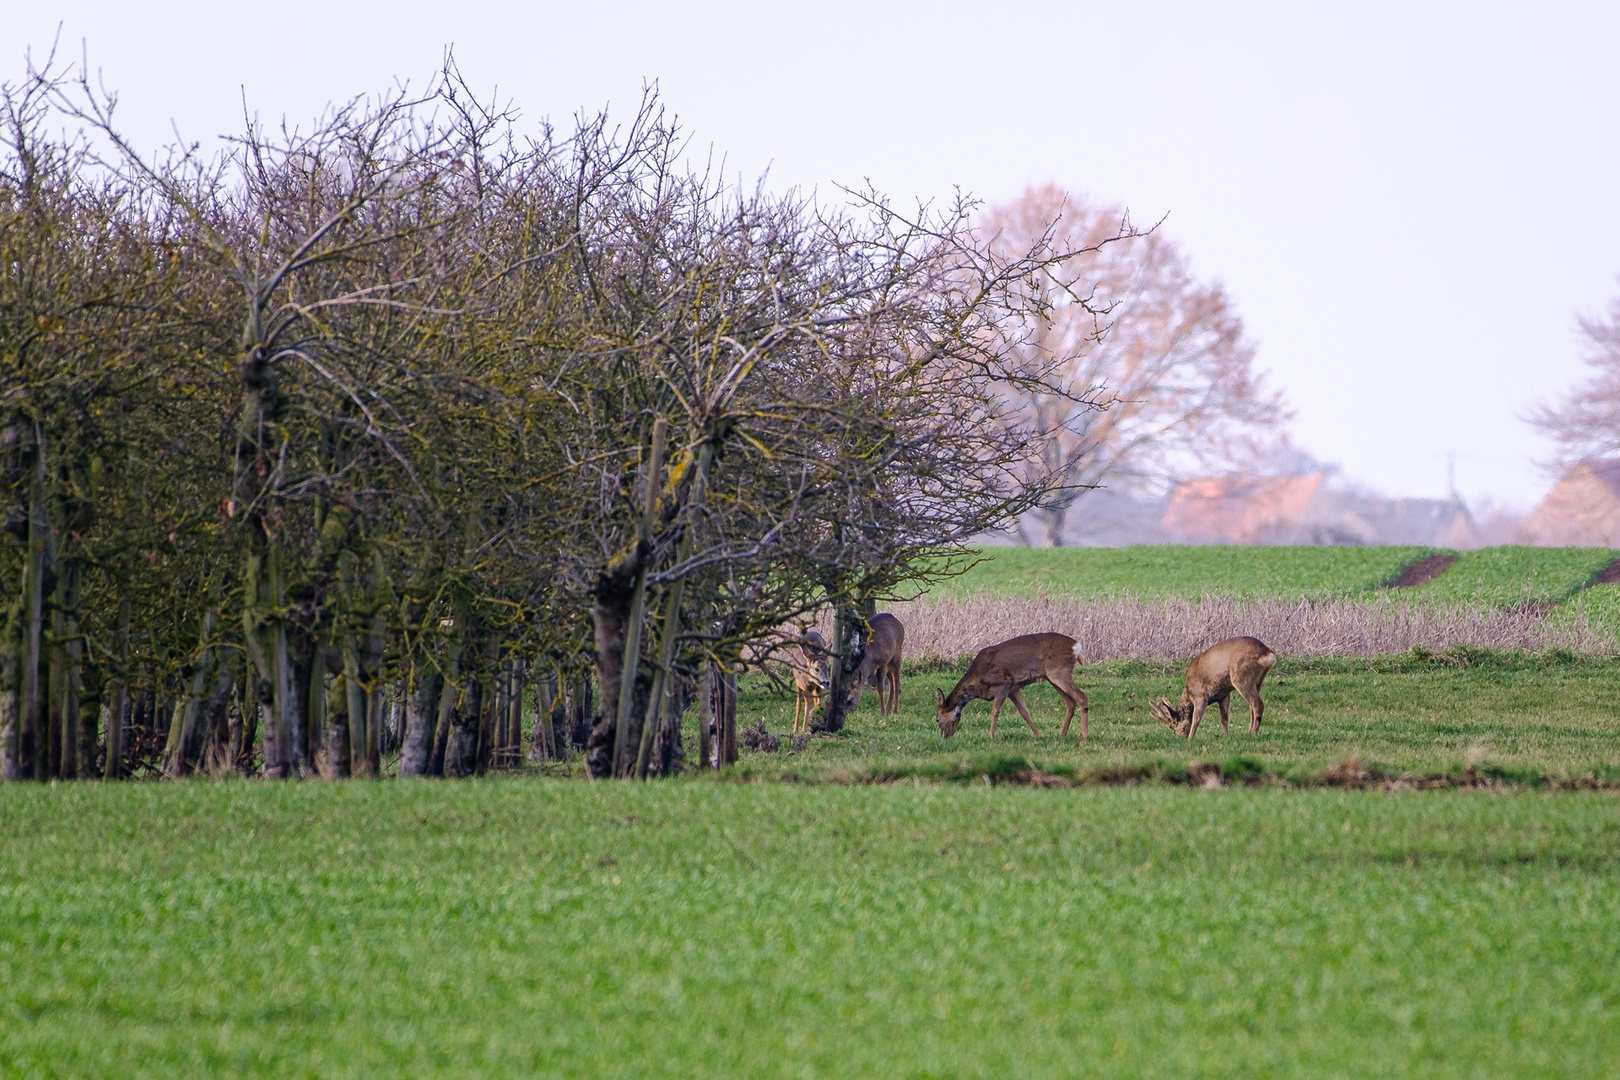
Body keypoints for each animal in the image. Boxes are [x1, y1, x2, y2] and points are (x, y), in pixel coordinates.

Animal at [939, 634, 1088, 744]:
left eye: (937, 720)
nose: (944, 737)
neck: (978, 682)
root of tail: (1076, 645)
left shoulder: (1003, 684)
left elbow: (995, 711)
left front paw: (990, 736)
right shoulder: (1013, 689)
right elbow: (1024, 712)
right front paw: (1039, 736)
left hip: (1059, 671)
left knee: (1082, 696)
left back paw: (1084, 735)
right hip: (1052, 677)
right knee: (1070, 702)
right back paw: (1062, 735)